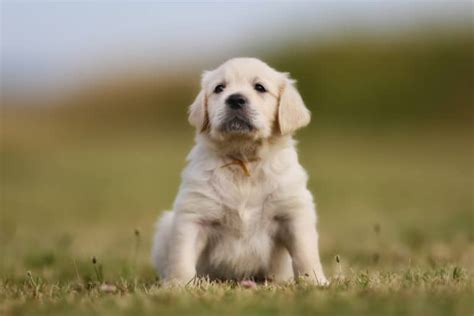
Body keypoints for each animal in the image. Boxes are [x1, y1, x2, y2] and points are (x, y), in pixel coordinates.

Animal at [152, 57, 326, 286]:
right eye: (219, 88)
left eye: (260, 87)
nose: (235, 99)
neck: (243, 161)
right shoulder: (193, 215)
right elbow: (182, 256)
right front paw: (178, 285)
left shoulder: (294, 212)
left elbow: (306, 253)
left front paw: (316, 281)